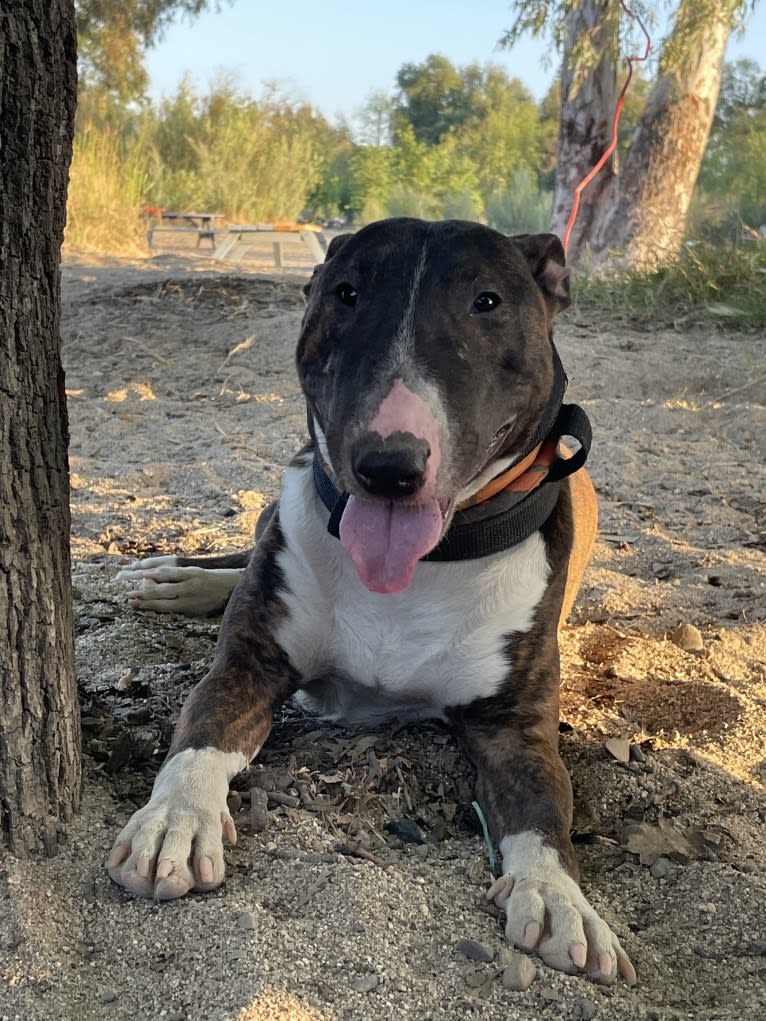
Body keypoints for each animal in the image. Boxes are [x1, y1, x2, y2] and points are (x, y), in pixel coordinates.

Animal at [108, 219, 637, 984]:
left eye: (487, 301)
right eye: (346, 293)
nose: (389, 464)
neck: (421, 568)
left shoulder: (516, 728)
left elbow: (543, 814)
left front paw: (558, 895)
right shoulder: (248, 666)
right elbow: (200, 736)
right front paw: (173, 820)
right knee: (246, 554)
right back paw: (182, 580)